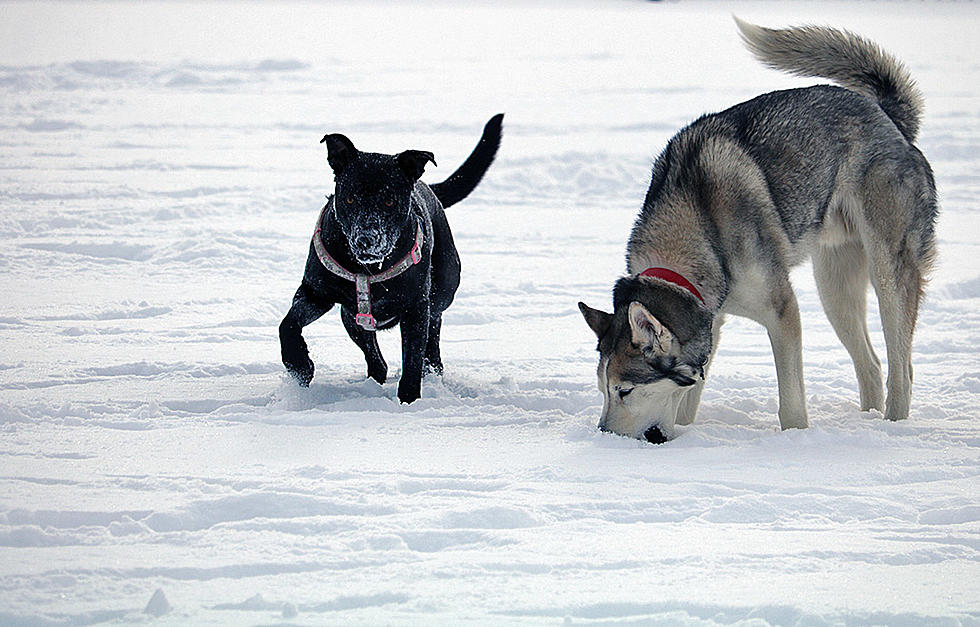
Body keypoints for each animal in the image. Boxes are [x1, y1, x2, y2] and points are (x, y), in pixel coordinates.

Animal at [278, 115, 502, 404]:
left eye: (388, 201)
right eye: (349, 198)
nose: (366, 239)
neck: (367, 269)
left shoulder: (415, 307)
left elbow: (412, 358)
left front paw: (408, 399)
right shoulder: (315, 293)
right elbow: (288, 324)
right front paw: (299, 365)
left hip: (443, 289)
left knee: (434, 329)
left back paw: (431, 370)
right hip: (352, 318)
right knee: (377, 359)